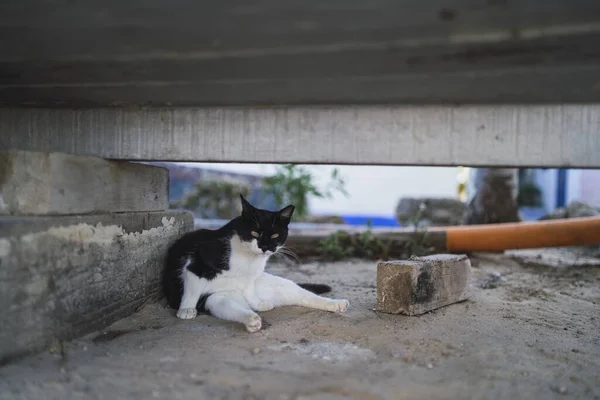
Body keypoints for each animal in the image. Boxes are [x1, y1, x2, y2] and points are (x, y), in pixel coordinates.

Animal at [164, 196, 352, 332]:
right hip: (215, 298)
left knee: (305, 296)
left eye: (275, 235)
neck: (248, 259)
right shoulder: (195, 264)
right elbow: (192, 290)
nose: (265, 247)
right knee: (231, 309)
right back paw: (252, 320)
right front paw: (186, 309)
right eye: (254, 233)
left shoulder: (251, 277)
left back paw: (337, 304)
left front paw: (258, 304)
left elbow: (250, 289)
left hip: (278, 285)